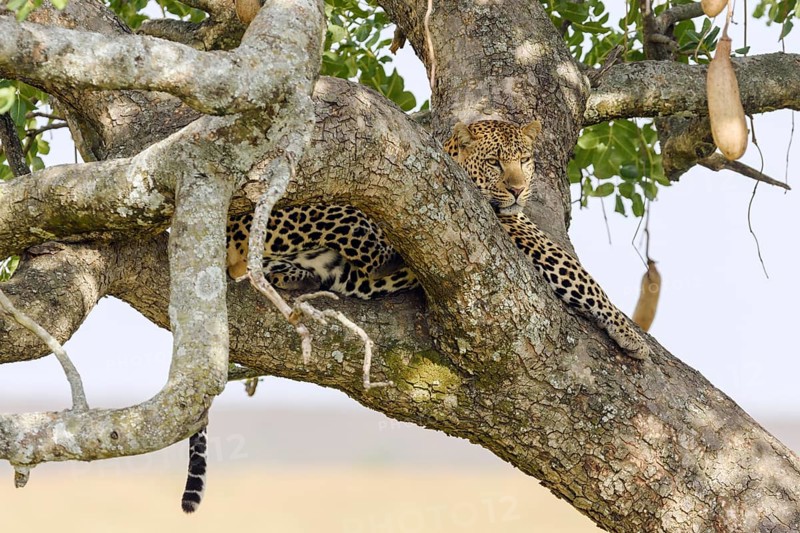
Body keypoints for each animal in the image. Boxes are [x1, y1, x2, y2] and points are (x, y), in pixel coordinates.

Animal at [180, 119, 649, 513]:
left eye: (526, 160)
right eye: (496, 162)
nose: (518, 190)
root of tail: (228, 222)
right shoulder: (515, 231)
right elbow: (577, 274)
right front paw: (629, 334)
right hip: (341, 214)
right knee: (355, 266)